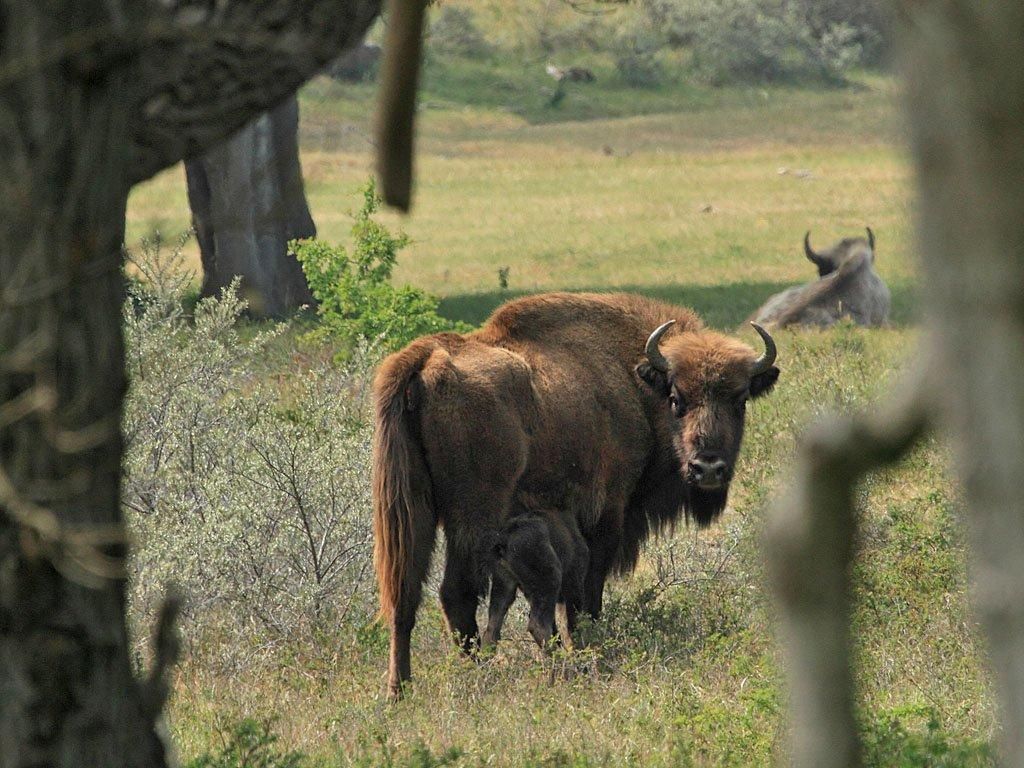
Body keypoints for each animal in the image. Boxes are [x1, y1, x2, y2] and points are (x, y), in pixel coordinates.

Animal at [372, 290, 778, 700]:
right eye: (677, 398)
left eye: (740, 399)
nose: (707, 468)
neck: (634, 381)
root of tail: (427, 355)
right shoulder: (607, 517)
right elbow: (586, 597)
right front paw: (589, 653)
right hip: (470, 521)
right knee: (455, 595)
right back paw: (474, 676)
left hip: (412, 509)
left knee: (404, 596)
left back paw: (400, 690)